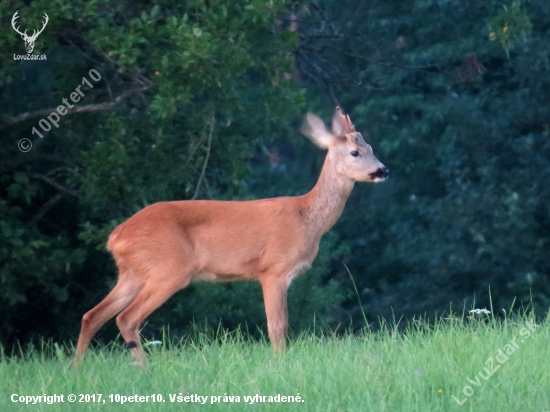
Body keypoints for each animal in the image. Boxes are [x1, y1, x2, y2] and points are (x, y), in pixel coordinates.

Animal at [73, 107, 390, 366]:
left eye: (371, 147)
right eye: (355, 152)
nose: (383, 170)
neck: (307, 219)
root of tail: (115, 237)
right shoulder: (273, 269)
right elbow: (278, 327)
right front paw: (279, 365)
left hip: (133, 273)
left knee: (92, 315)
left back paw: (78, 370)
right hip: (169, 269)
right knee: (126, 318)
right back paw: (146, 370)